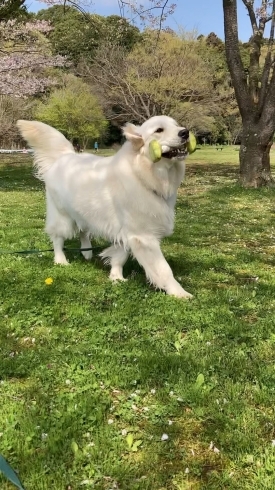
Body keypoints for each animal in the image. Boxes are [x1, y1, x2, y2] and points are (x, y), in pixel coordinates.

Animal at [17, 116, 193, 298]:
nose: (185, 132)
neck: (142, 173)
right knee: (58, 239)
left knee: (83, 232)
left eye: (176, 125)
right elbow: (164, 269)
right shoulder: (143, 236)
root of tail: (65, 155)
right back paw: (61, 261)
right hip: (62, 216)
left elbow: (120, 255)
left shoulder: (126, 231)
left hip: (85, 212)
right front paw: (178, 292)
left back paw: (87, 252)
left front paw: (116, 277)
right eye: (159, 130)